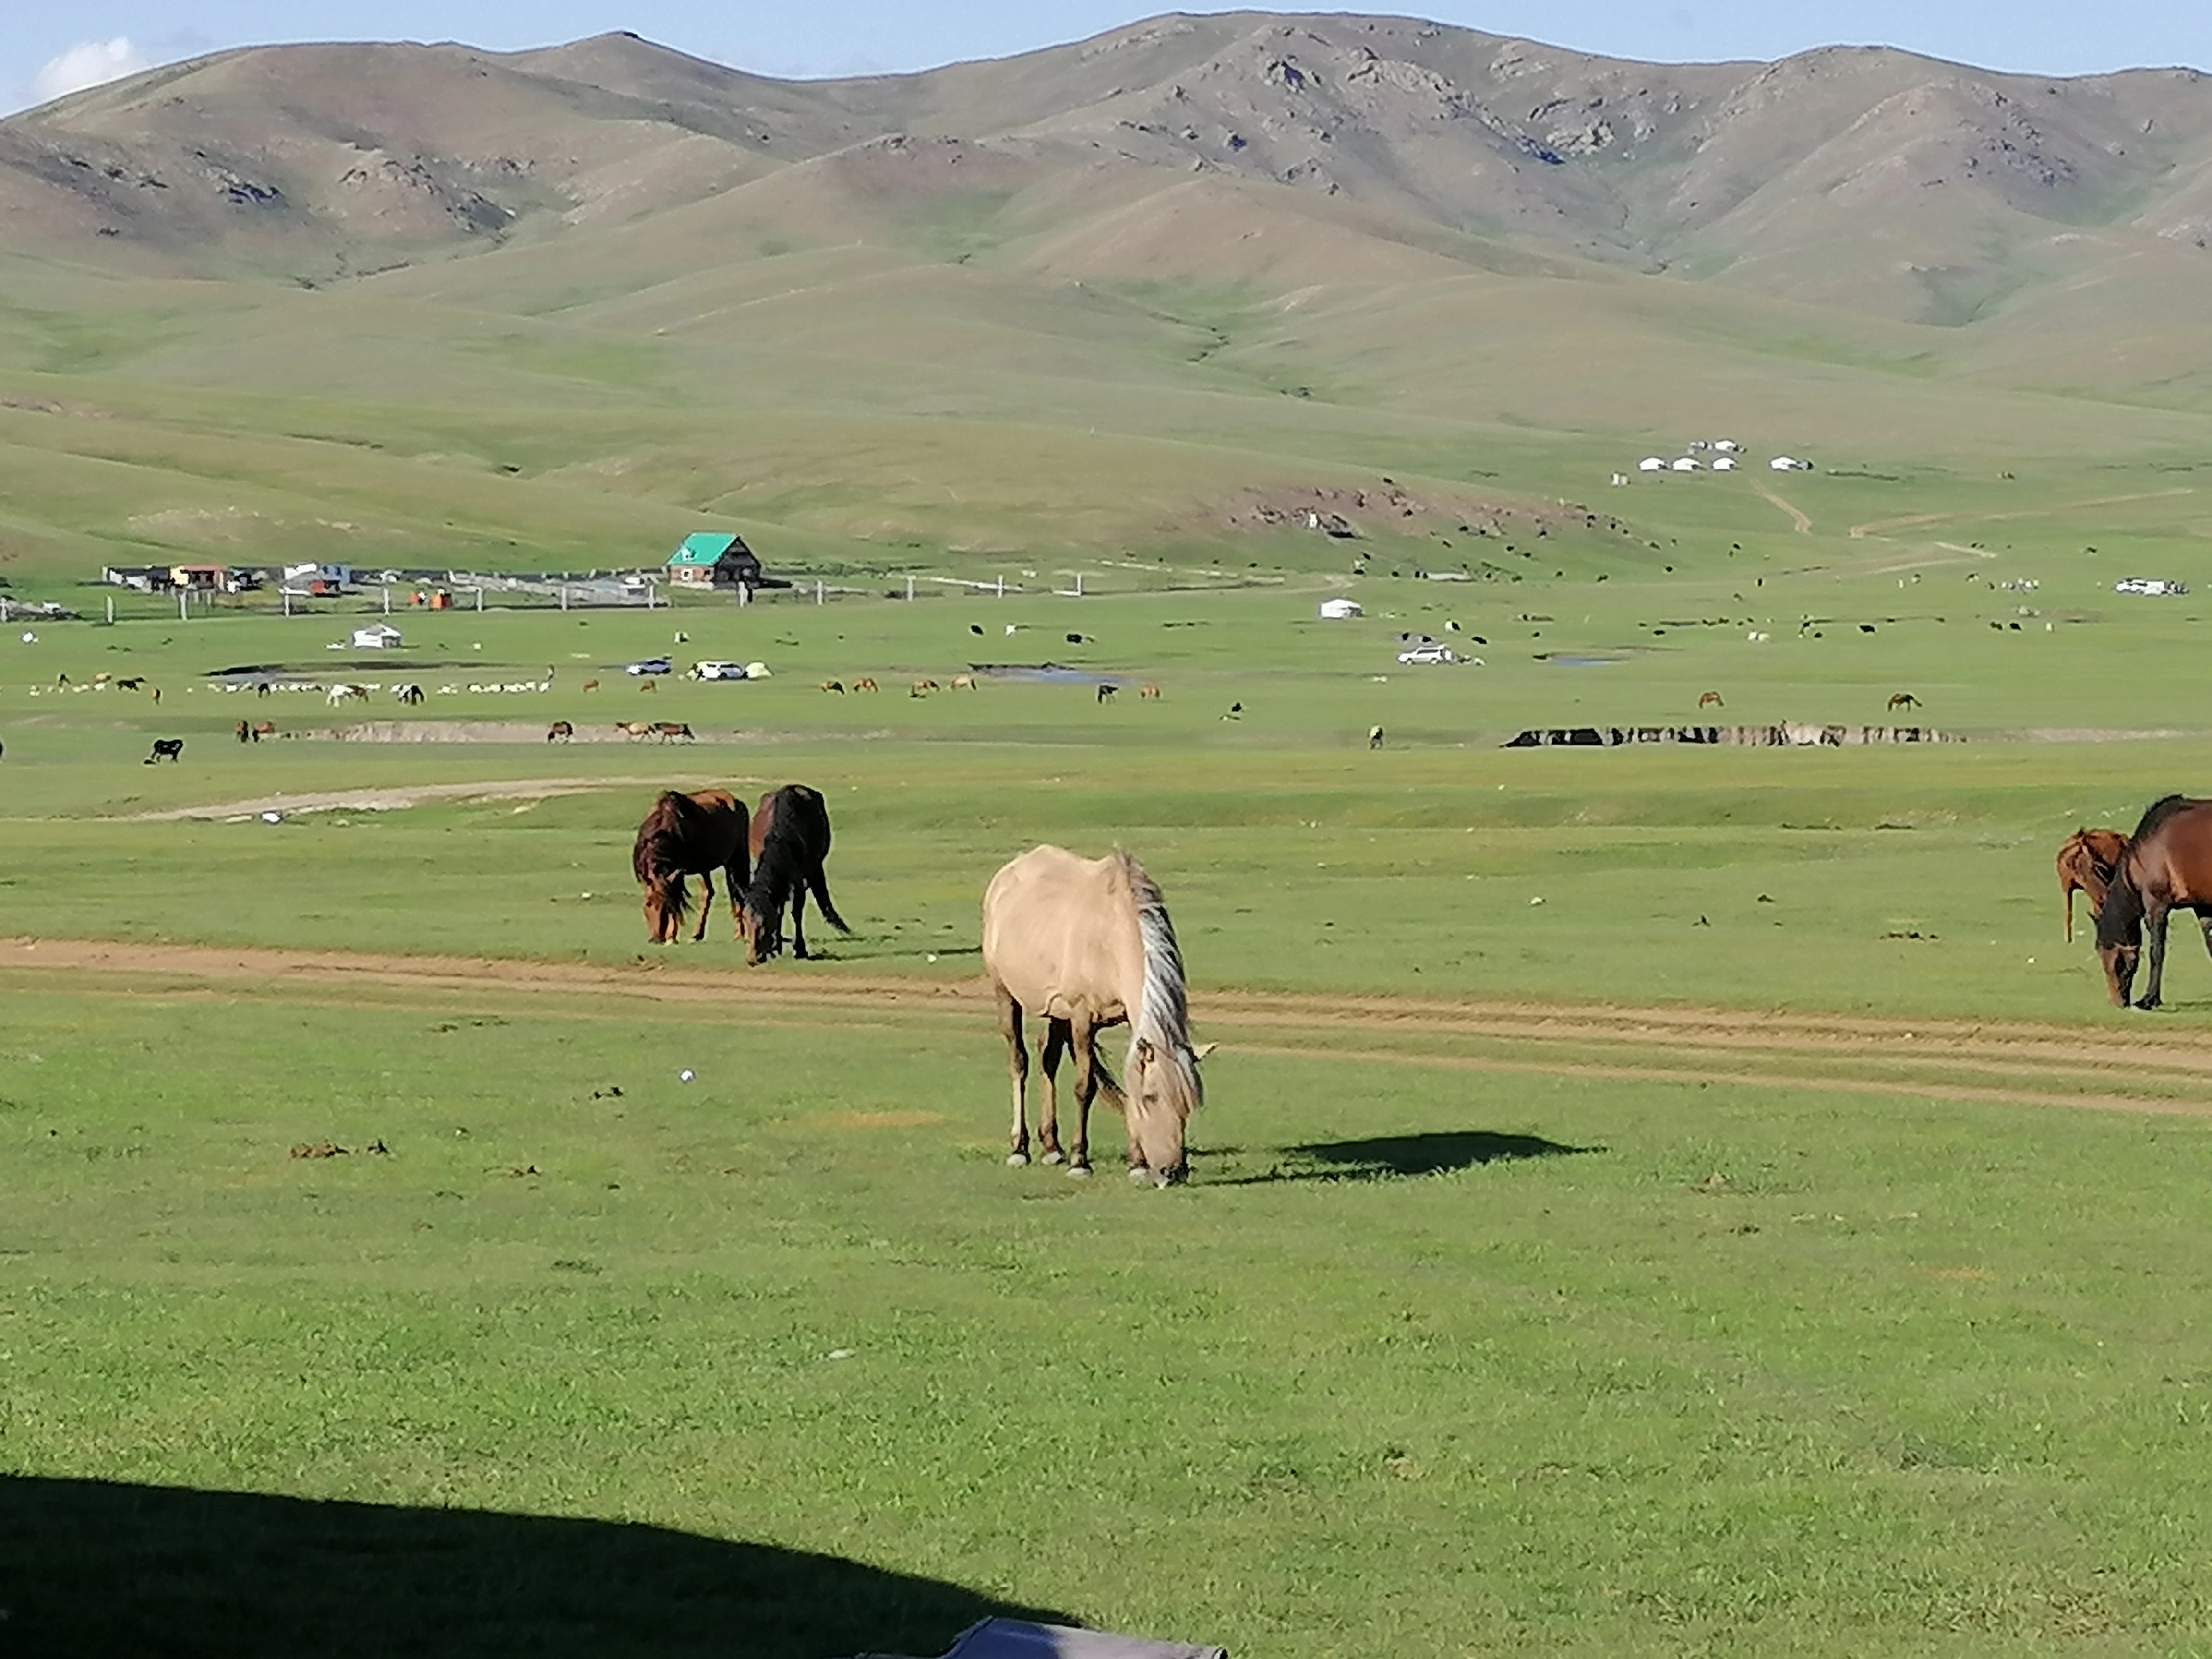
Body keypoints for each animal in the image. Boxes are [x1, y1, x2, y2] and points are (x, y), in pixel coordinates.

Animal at [631, 789, 751, 944]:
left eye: (667, 907)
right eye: (648, 904)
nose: (657, 939)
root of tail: (739, 803)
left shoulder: (676, 873)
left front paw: (672, 936)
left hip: (735, 860)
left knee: (736, 893)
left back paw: (740, 934)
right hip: (705, 868)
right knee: (709, 893)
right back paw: (697, 934)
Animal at [739, 785, 851, 965]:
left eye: (765, 920)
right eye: (745, 918)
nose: (753, 958)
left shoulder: (799, 882)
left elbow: (796, 913)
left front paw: (800, 949)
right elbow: (780, 910)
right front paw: (776, 947)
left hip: (814, 867)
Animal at [982, 845, 1209, 1186]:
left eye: (1188, 1102)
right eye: (1152, 1097)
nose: (1174, 1173)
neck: (1112, 935)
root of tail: (1006, 875)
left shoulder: (1128, 1017)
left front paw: (1137, 1164)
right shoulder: (1082, 1018)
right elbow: (1084, 1088)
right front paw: (1081, 1161)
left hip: (1057, 1011)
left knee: (1048, 1059)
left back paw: (1051, 1147)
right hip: (1006, 994)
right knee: (1019, 1063)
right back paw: (1020, 1149)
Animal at [2095, 797, 2212, 1008]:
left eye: (2115, 961)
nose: (2117, 1002)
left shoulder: (2156, 906)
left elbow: (2156, 952)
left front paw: (2150, 999)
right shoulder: (2203, 906)